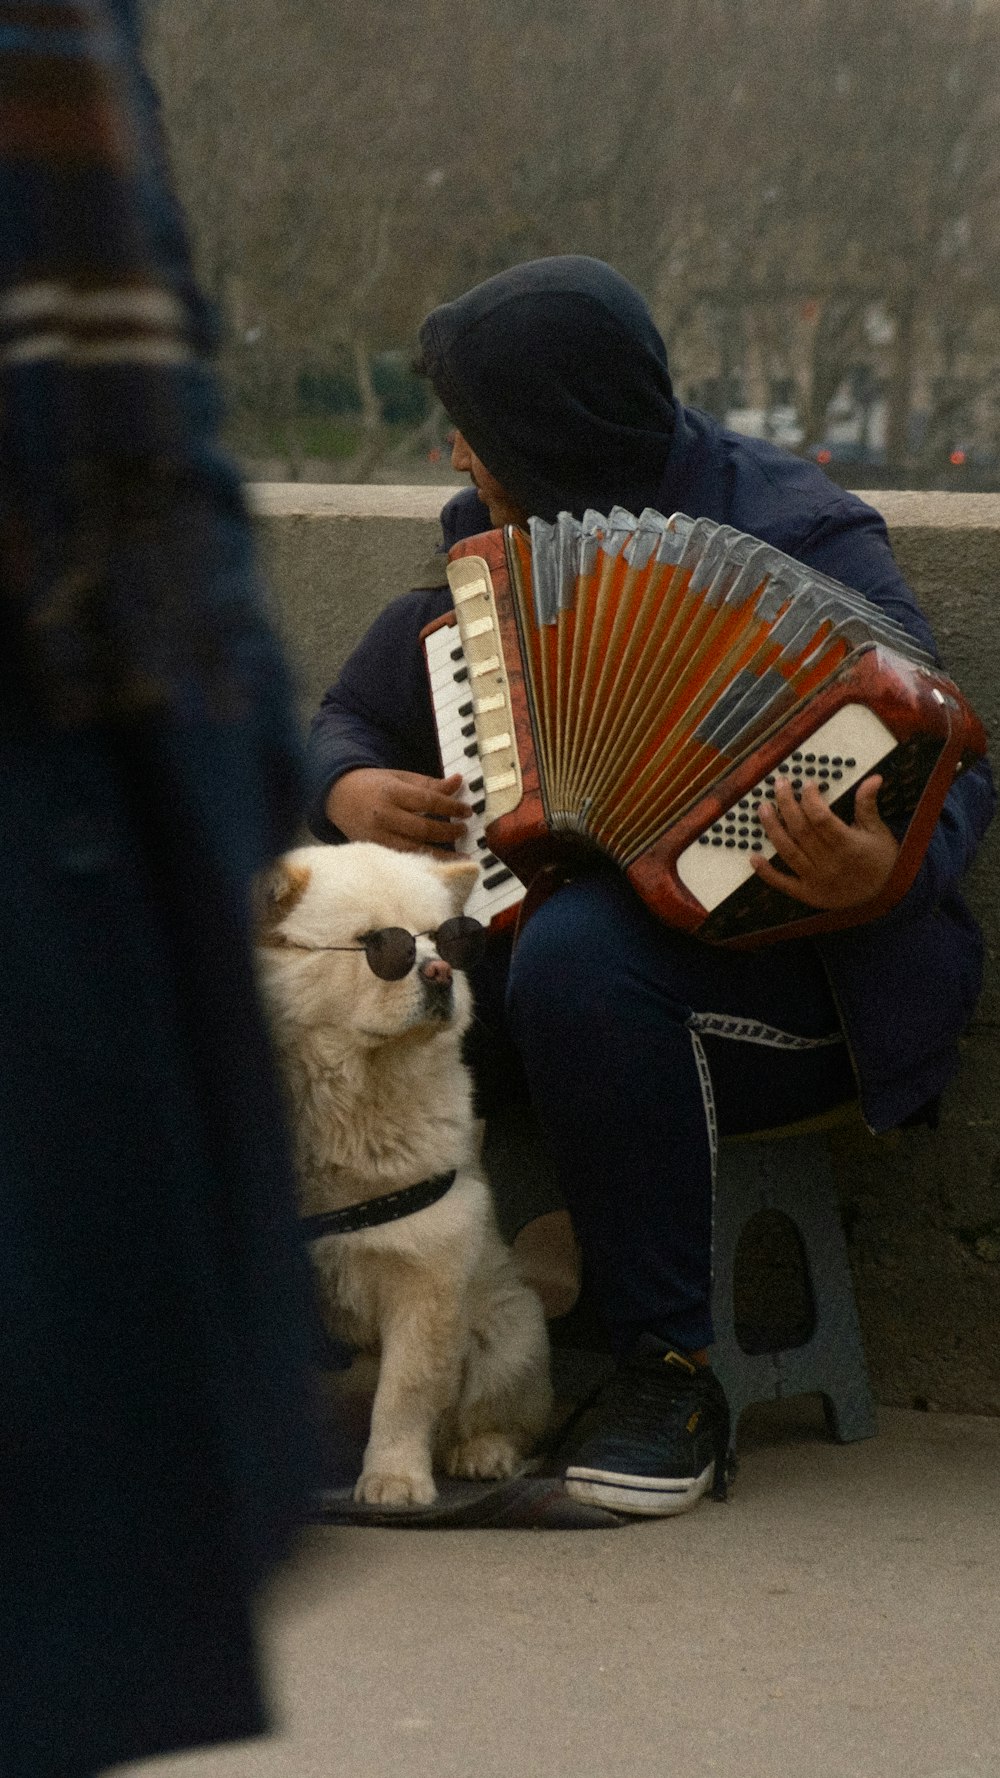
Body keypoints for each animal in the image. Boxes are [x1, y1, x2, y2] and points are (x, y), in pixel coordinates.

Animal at [256, 842, 548, 1500]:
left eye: (446, 940)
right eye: (378, 945)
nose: (438, 973)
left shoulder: (425, 1273)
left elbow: (406, 1392)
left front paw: (394, 1479)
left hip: (510, 1328)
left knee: (502, 1416)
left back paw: (482, 1453)